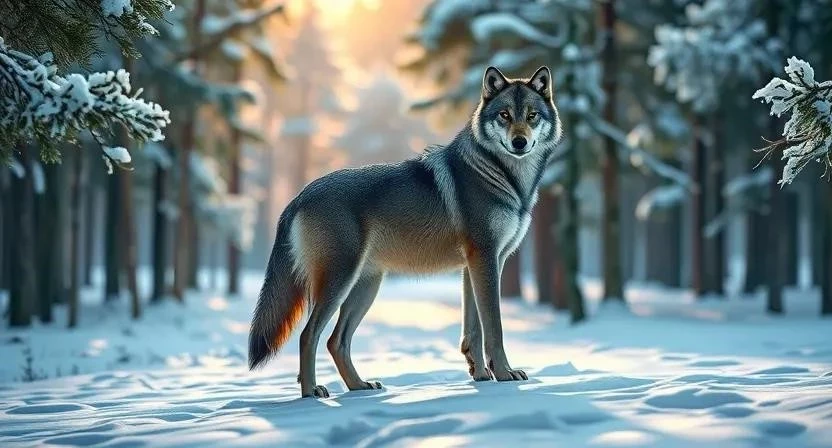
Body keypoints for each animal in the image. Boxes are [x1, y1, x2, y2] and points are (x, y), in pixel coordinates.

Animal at [249, 66, 562, 398]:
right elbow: (494, 327)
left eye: (531, 116)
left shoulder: (478, 264)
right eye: (504, 115)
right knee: (309, 335)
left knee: (336, 341)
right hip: (340, 281)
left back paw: (360, 386)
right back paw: (312, 393)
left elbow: (473, 330)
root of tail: (298, 197)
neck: (503, 176)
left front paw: (480, 376)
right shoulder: (486, 258)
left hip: (366, 286)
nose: (519, 142)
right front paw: (503, 374)